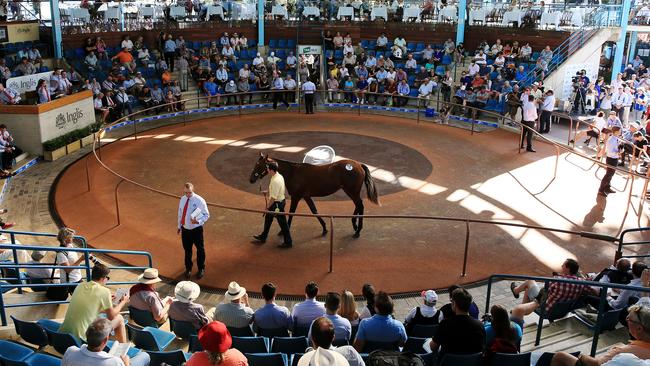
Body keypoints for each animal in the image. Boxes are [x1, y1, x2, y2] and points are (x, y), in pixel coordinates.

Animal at [249, 152, 380, 237]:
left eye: (259, 165)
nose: (251, 179)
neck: (293, 173)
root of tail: (358, 165)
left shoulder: (296, 197)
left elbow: (291, 212)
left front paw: (284, 231)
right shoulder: (306, 196)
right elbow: (314, 210)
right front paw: (325, 228)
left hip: (351, 191)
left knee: (360, 205)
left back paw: (357, 230)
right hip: (351, 191)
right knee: (358, 205)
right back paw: (355, 225)